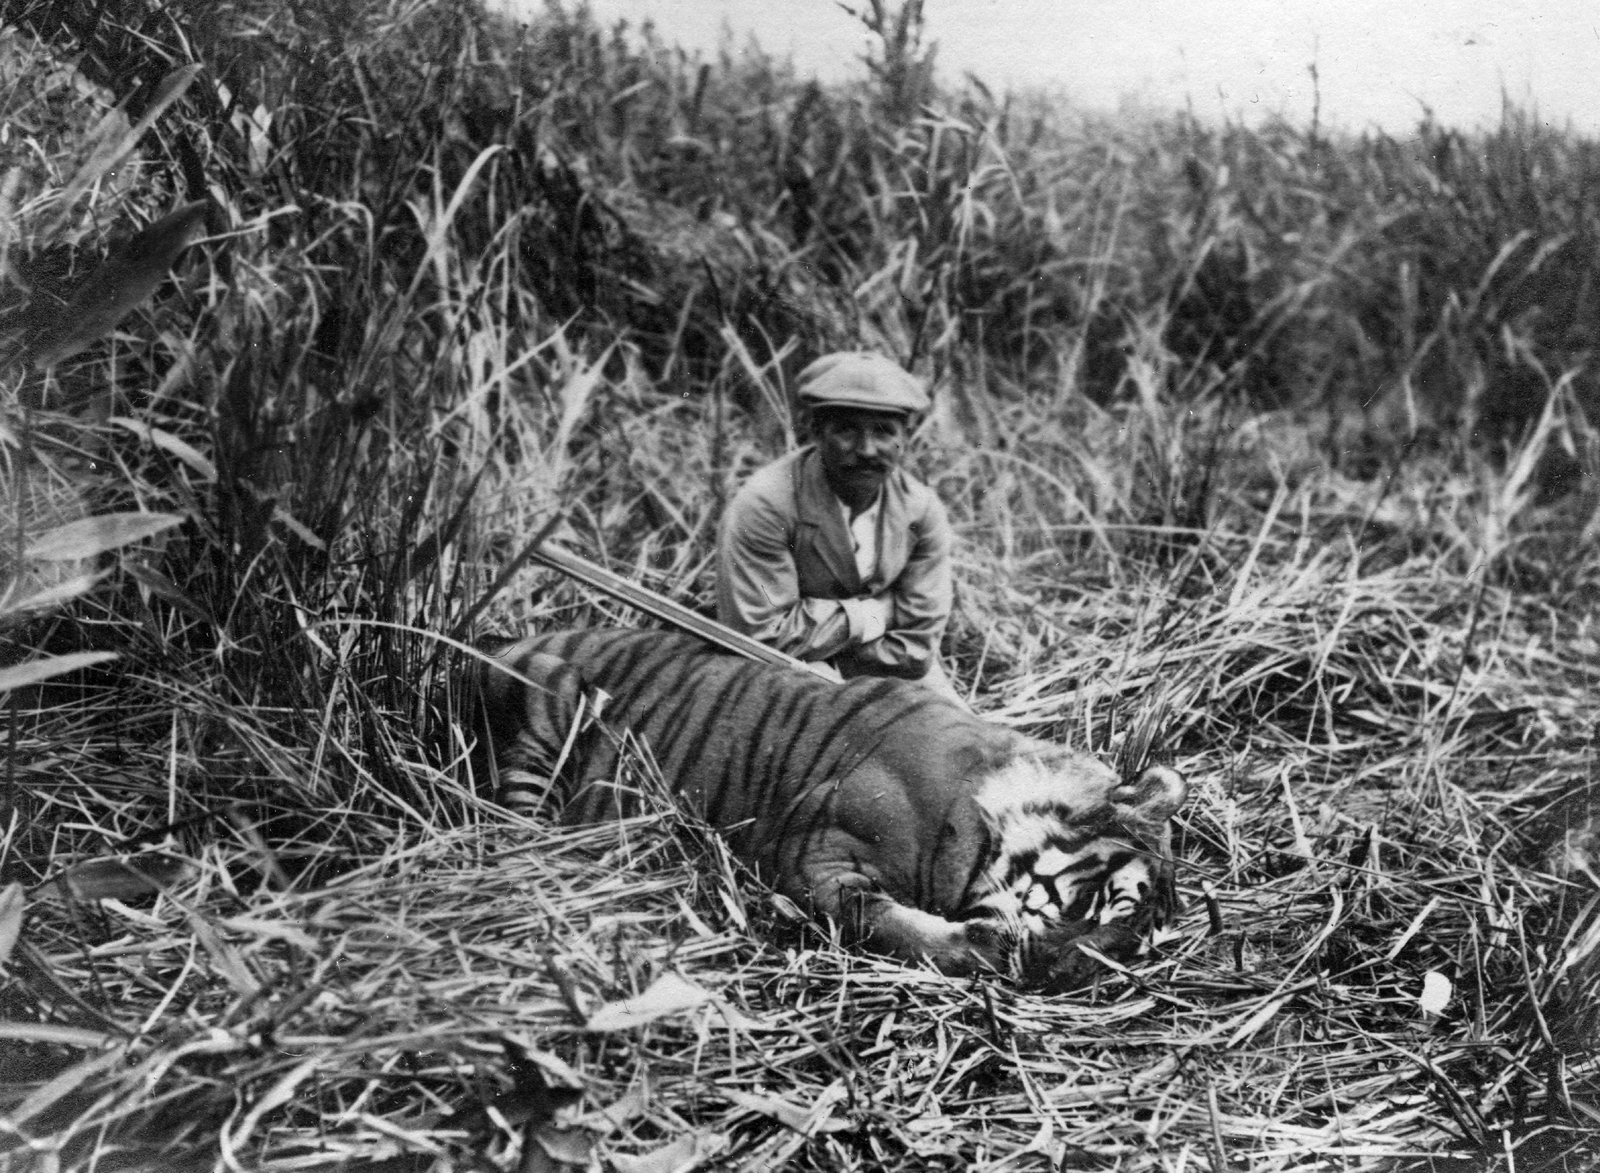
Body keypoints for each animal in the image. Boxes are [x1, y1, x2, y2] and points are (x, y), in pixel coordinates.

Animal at [471, 628, 1187, 991]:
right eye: (1108, 904)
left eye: (1137, 944)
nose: (1064, 978)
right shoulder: (811, 851)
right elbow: (885, 921)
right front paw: (977, 946)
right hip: (549, 710)